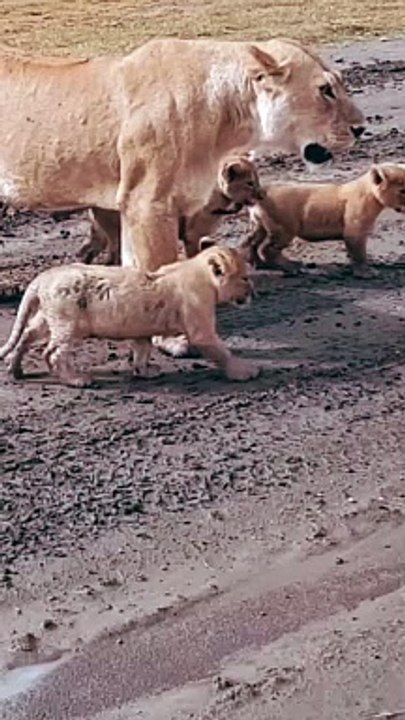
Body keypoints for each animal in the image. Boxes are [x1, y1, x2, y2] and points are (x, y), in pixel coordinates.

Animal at [0, 244, 260, 387]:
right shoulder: (200, 325)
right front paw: (244, 371)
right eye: (245, 278)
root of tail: (43, 276)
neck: (201, 273)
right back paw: (76, 380)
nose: (253, 293)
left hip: (48, 319)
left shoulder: (142, 330)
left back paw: (15, 369)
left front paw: (144, 372)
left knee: (26, 335)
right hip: (68, 324)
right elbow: (220, 351)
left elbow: (142, 351)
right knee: (52, 352)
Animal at [77, 154, 263, 265]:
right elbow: (194, 255)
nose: (261, 194)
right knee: (112, 254)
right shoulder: (191, 235)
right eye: (250, 183)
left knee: (92, 249)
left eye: (257, 180)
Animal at [243, 163, 405, 275]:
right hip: (285, 228)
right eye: (402, 190)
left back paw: (258, 264)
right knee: (267, 249)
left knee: (250, 243)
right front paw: (366, 272)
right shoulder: (355, 230)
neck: (370, 194)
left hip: (259, 225)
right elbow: (359, 253)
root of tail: (259, 192)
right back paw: (293, 267)